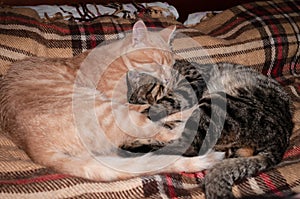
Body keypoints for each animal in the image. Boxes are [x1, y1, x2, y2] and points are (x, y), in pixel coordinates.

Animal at [0, 21, 225, 182]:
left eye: (171, 63)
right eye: (156, 62)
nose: (168, 78)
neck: (120, 58)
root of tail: (33, 147)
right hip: (108, 110)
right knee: (165, 130)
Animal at [123, 59, 292, 198]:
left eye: (150, 93)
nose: (148, 104)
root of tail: (281, 141)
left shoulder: (191, 83)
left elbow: (166, 105)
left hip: (215, 105)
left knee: (187, 147)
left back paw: (132, 146)